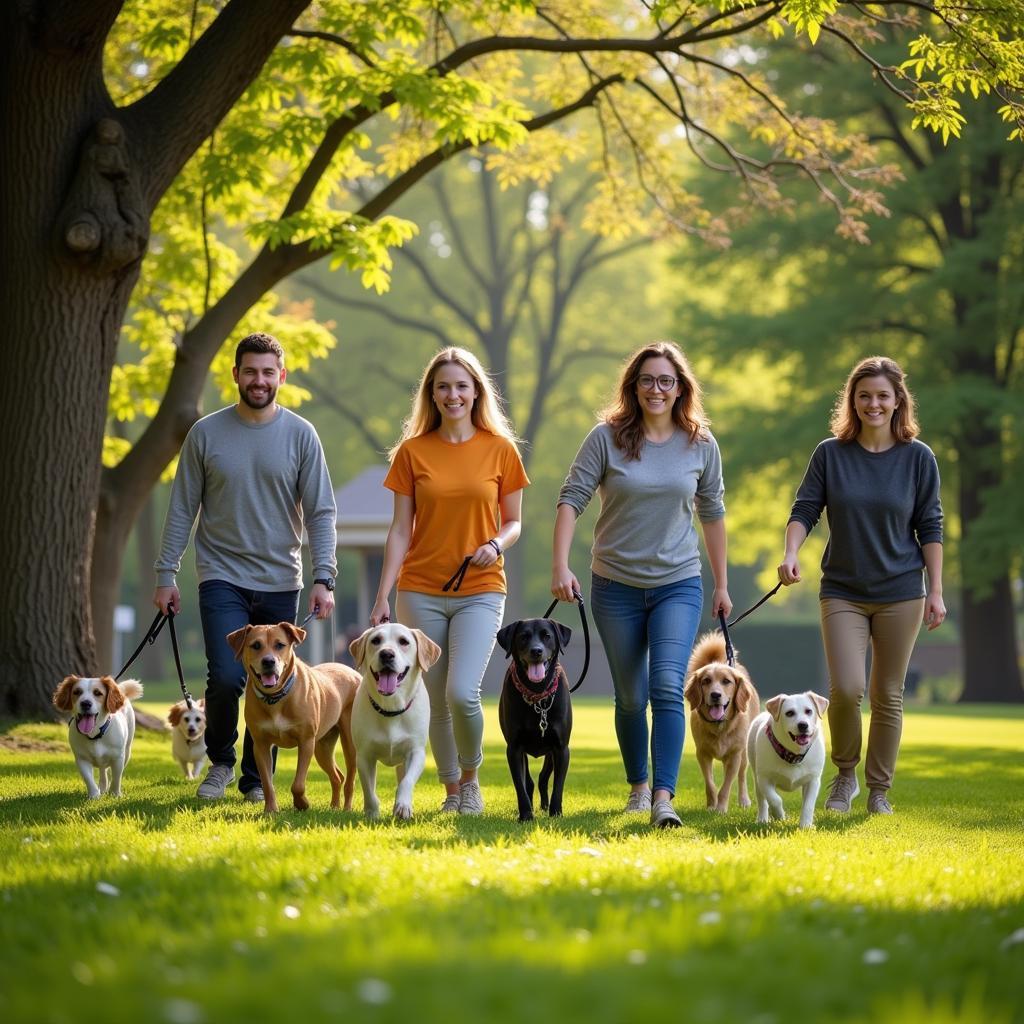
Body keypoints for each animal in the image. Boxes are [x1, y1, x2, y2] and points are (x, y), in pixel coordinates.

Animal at [227, 618, 360, 811]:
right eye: (256, 645)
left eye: (280, 645)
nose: (269, 661)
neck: (276, 698)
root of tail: (352, 671)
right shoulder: (261, 745)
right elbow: (267, 783)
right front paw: (270, 810)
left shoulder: (306, 741)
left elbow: (298, 784)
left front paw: (302, 803)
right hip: (323, 745)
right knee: (337, 776)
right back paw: (334, 806)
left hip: (348, 741)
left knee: (350, 778)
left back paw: (346, 808)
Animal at [348, 618, 440, 819]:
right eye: (376, 640)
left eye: (404, 642)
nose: (387, 654)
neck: (391, 708)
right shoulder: (364, 755)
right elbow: (369, 790)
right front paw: (372, 812)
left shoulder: (416, 752)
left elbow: (406, 781)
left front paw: (403, 806)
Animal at [688, 626, 761, 811]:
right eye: (706, 681)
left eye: (726, 681)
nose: (715, 695)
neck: (719, 726)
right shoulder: (702, 754)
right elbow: (710, 784)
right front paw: (711, 807)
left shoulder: (735, 755)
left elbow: (726, 786)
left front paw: (721, 808)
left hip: (744, 755)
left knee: (742, 776)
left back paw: (744, 800)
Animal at [745, 692, 831, 827]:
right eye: (789, 713)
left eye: (808, 711)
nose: (803, 725)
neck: (793, 755)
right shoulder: (764, 778)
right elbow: (775, 799)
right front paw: (779, 815)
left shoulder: (813, 780)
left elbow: (808, 805)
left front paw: (806, 825)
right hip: (756, 776)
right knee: (762, 800)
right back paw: (762, 819)